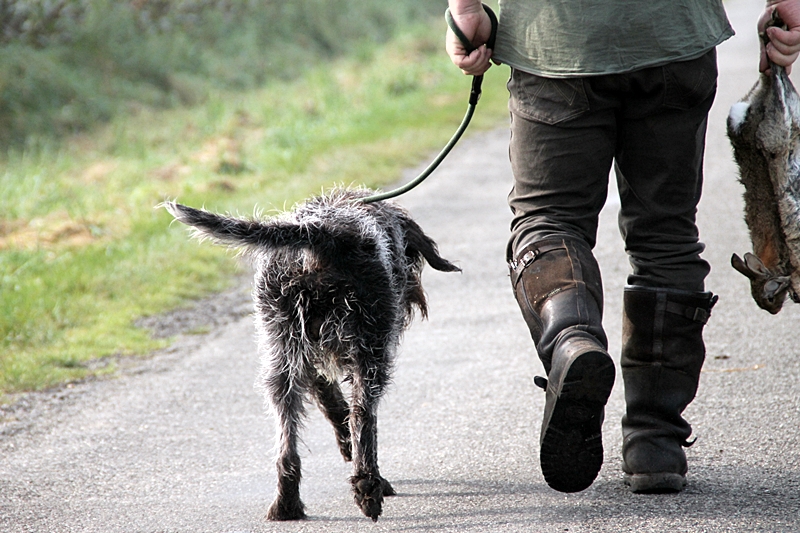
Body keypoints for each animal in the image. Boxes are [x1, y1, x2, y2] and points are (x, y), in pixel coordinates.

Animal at [160, 187, 460, 520]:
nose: (413, 295)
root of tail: (320, 233)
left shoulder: (308, 359)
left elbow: (332, 404)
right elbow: (349, 414)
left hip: (281, 355)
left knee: (287, 441)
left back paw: (287, 503)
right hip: (370, 352)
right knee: (363, 415)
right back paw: (369, 486)